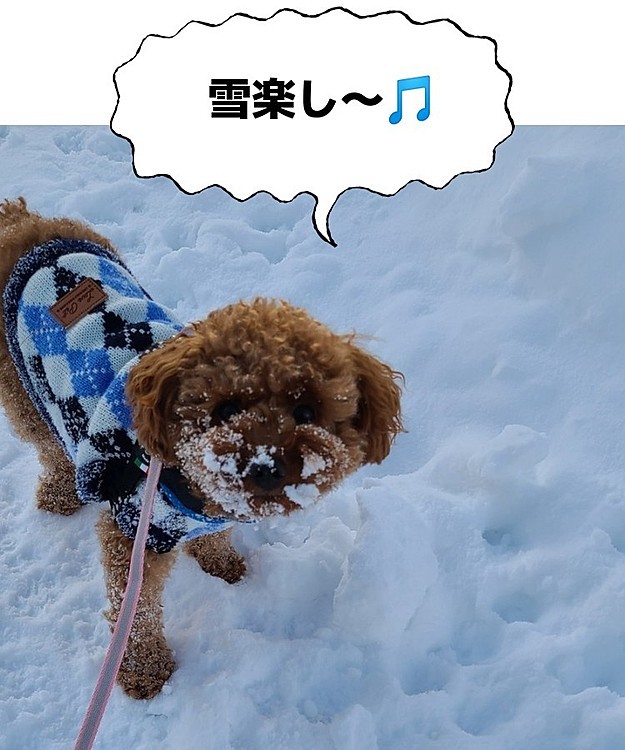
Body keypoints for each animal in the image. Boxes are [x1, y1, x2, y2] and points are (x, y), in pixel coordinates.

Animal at [0, 198, 402, 700]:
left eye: (307, 410)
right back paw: (59, 494)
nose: (265, 465)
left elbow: (215, 539)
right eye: (224, 408)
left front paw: (222, 564)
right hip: (23, 386)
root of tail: (22, 220)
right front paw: (144, 670)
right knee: (47, 445)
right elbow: (136, 611)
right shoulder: (133, 529)